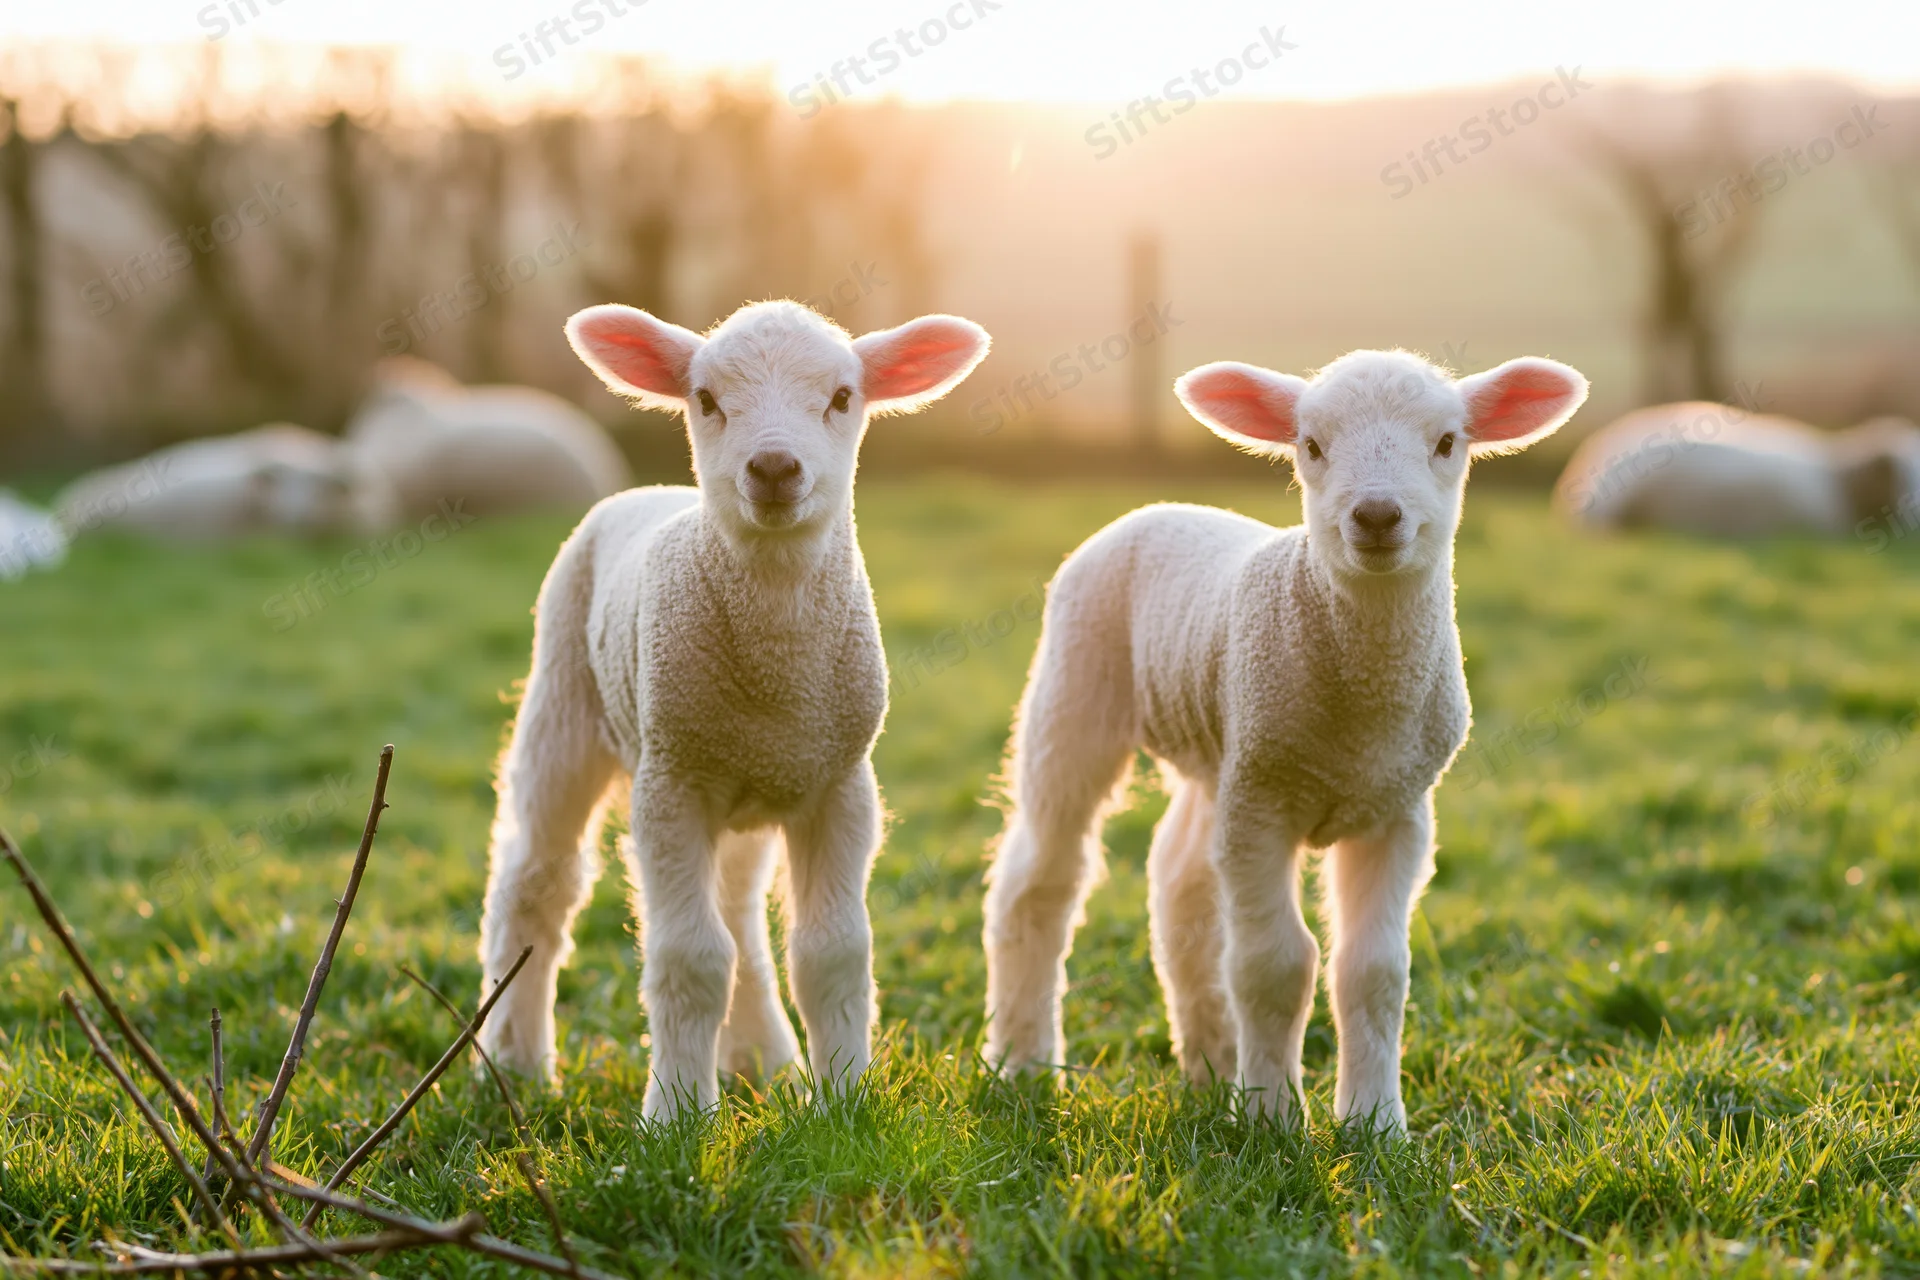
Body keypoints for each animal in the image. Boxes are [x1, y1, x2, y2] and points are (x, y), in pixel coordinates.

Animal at [476, 300, 991, 1118]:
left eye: (842, 397)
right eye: (706, 399)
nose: (775, 469)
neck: (775, 678)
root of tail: (649, 492)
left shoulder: (841, 784)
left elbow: (832, 951)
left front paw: (843, 1102)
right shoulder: (671, 784)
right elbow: (689, 957)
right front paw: (677, 1116)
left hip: (748, 788)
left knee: (741, 919)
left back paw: (761, 1057)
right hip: (562, 704)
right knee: (535, 888)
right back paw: (516, 1062)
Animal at [981, 349, 1588, 1132]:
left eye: (1448, 442)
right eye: (1312, 445)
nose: (1377, 515)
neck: (1362, 712)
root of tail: (1160, 507)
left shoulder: (1396, 810)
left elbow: (1373, 971)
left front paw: (1374, 1125)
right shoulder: (1263, 802)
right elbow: (1274, 966)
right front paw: (1271, 1120)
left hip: (1218, 748)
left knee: (1179, 882)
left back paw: (1210, 1064)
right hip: (1076, 693)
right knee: (1039, 883)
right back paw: (1023, 1061)